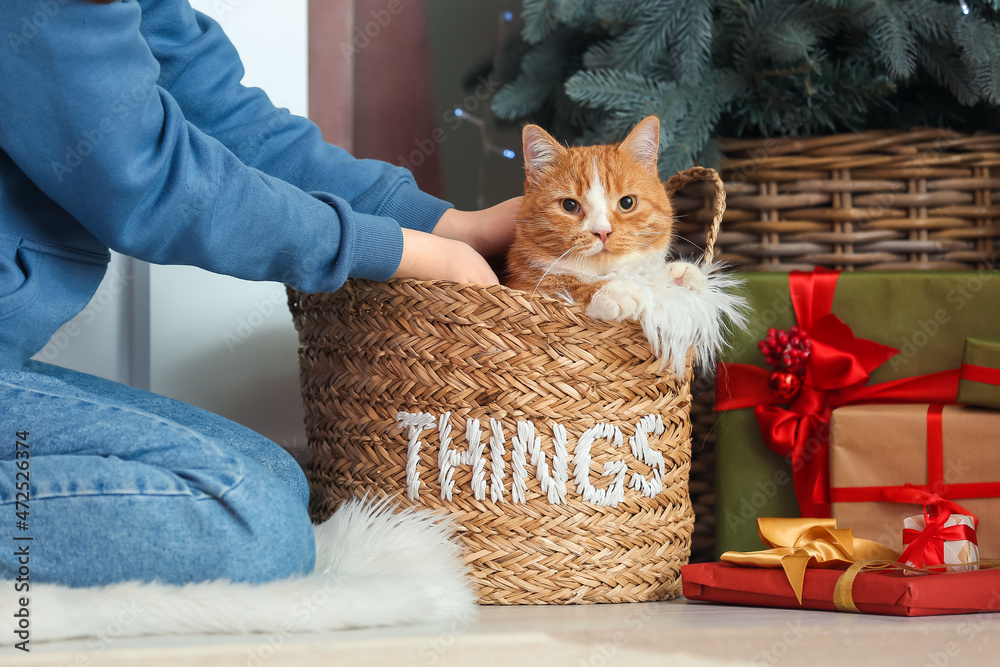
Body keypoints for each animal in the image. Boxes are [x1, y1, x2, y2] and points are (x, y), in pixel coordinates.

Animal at [504, 116, 708, 322]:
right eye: (569, 205)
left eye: (627, 202)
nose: (602, 231)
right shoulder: (523, 287)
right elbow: (561, 288)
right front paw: (614, 291)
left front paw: (675, 275)